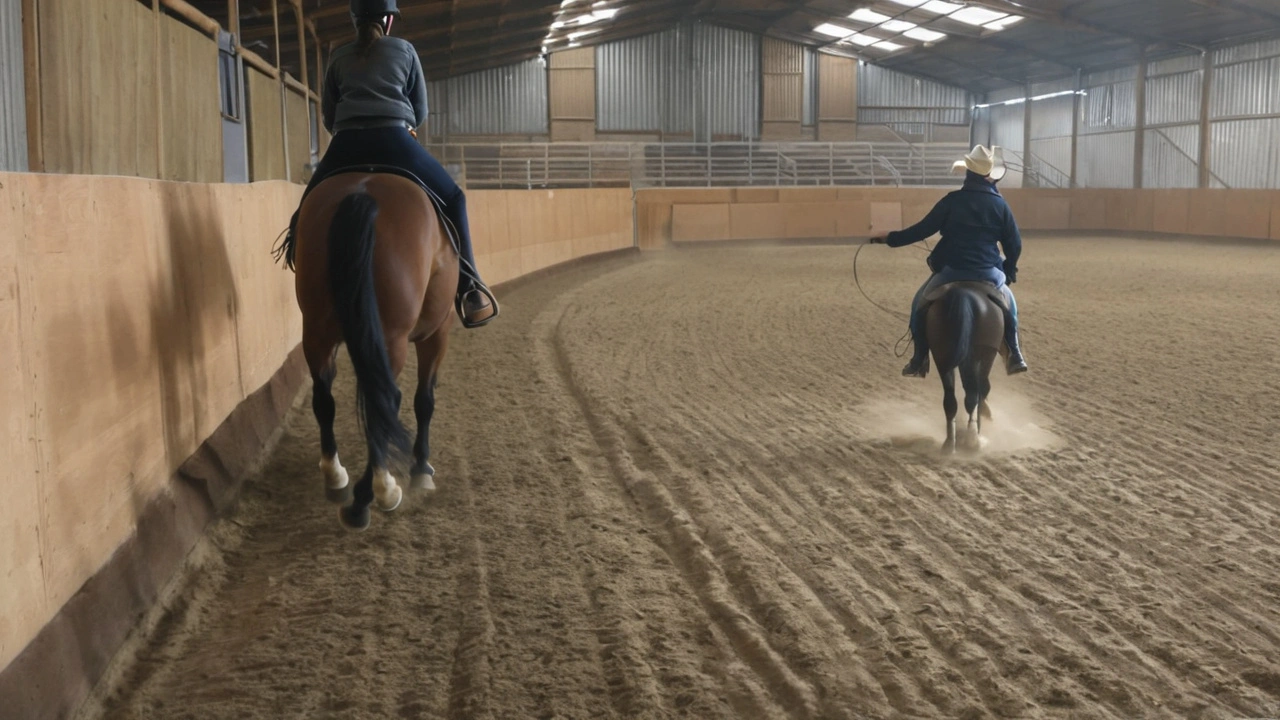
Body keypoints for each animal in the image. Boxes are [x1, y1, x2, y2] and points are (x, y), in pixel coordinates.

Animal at [293, 167, 458, 527]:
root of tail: (363, 193)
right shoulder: (437, 331)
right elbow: (424, 399)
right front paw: (420, 468)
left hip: (316, 330)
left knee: (324, 397)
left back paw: (337, 478)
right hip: (391, 337)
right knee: (384, 402)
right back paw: (374, 495)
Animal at [926, 281, 1003, 453]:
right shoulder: (988, 356)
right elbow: (984, 386)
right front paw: (986, 413)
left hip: (942, 357)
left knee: (950, 400)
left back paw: (950, 444)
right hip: (974, 356)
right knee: (972, 395)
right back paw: (973, 439)